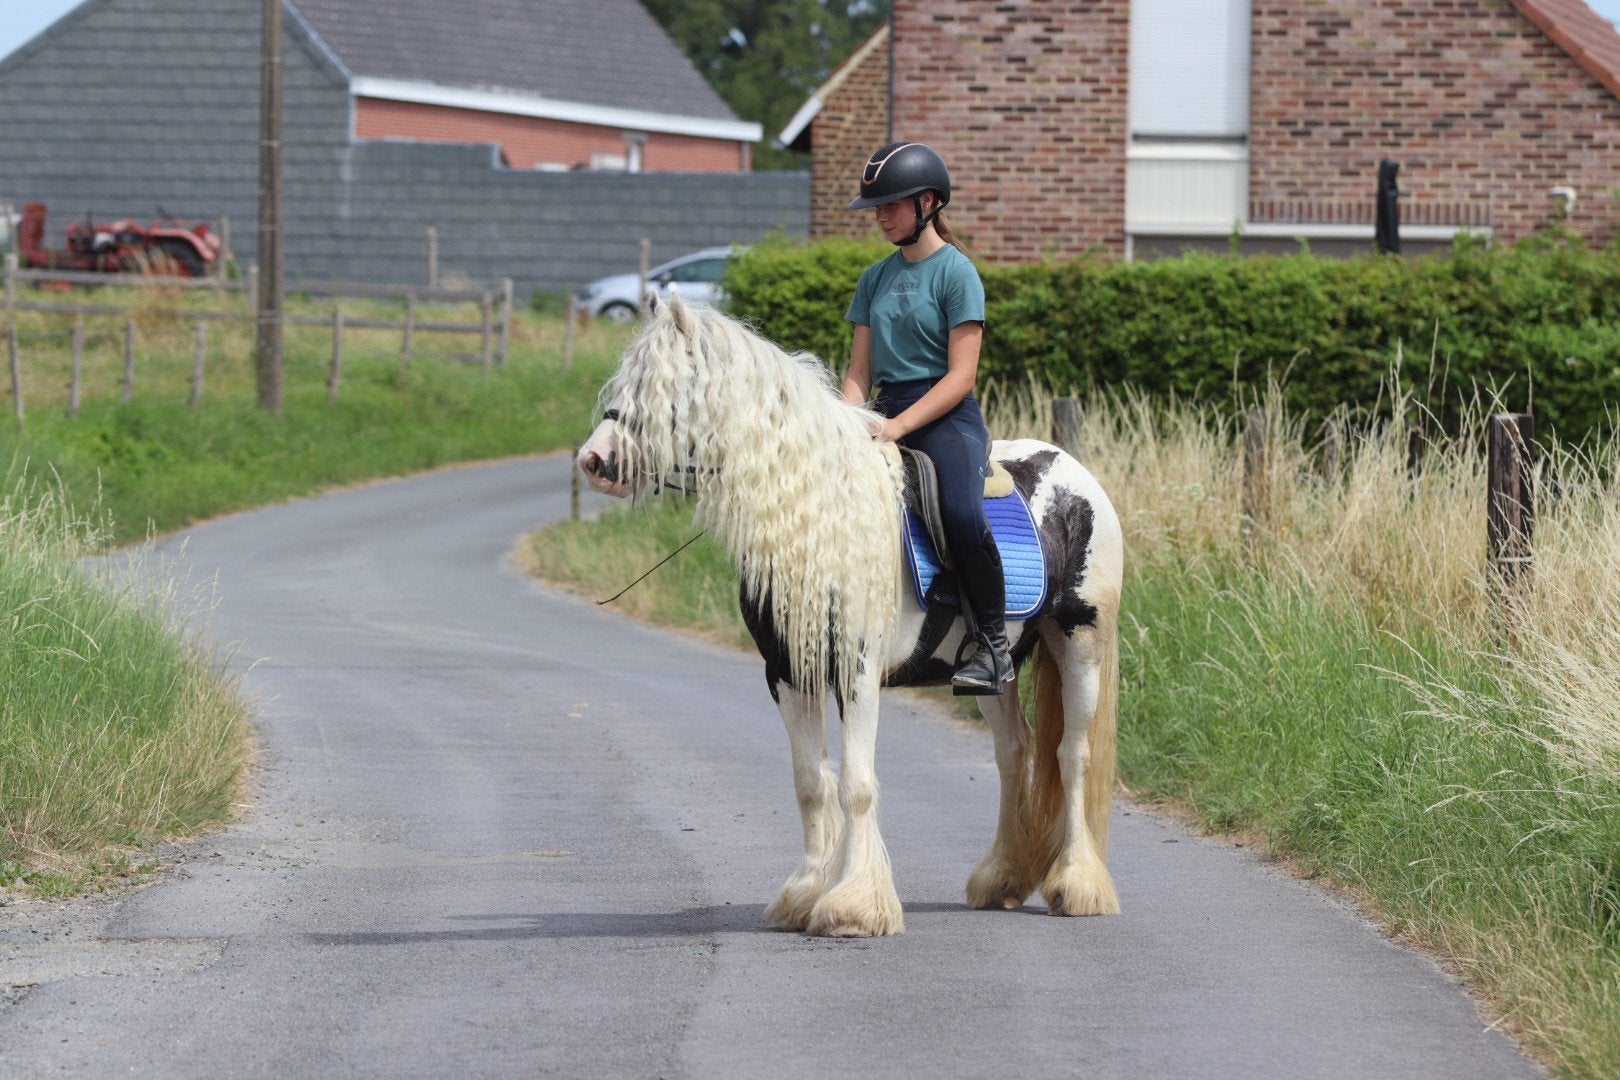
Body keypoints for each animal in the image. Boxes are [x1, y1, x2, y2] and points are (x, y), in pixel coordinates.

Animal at [576, 295, 1124, 938]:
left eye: (663, 386)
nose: (593, 461)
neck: (816, 514)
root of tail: (1075, 473)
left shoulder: (857, 672)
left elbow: (857, 786)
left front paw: (855, 906)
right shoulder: (787, 675)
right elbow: (813, 785)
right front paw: (804, 896)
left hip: (1080, 645)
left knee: (1072, 757)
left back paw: (1078, 885)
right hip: (998, 670)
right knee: (1015, 753)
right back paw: (1001, 880)